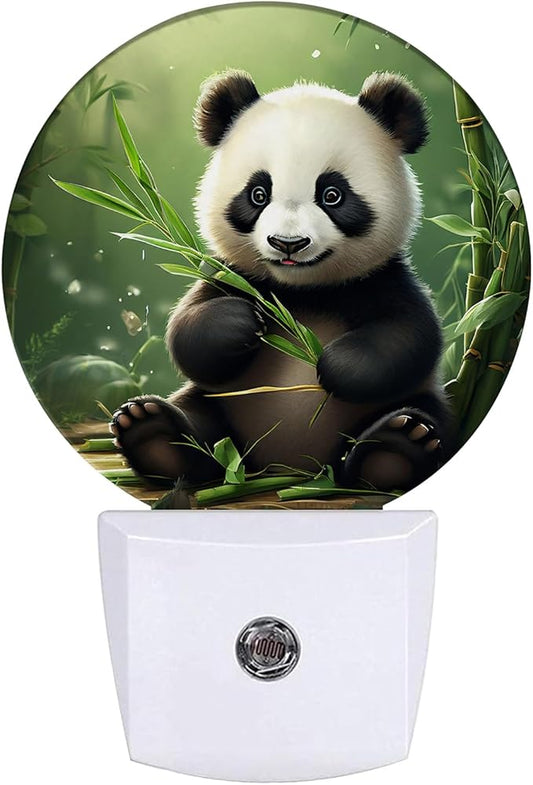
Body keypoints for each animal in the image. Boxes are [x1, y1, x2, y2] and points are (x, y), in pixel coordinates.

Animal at [111, 69, 452, 494]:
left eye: (333, 194)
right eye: (258, 193)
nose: (288, 243)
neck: (300, 291)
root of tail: (291, 467)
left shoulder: (380, 279)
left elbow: (410, 335)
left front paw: (334, 365)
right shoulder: (233, 276)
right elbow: (187, 332)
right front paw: (240, 324)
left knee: (425, 420)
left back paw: (396, 449)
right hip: (223, 408)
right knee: (201, 426)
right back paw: (152, 434)